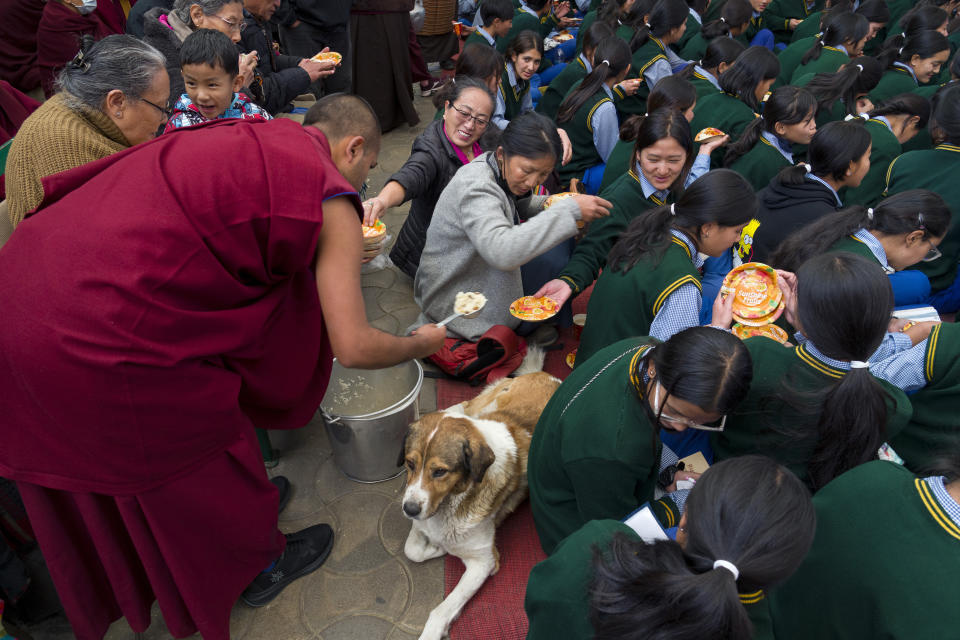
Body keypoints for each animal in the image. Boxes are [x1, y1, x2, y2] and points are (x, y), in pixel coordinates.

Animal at [400, 370, 564, 640]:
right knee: (465, 407)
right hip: (485, 405)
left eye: (440, 472)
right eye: (410, 464)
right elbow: (411, 550)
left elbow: (443, 609)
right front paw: (438, 547)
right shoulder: (420, 520)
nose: (409, 510)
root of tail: (548, 375)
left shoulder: (484, 562)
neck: (450, 502)